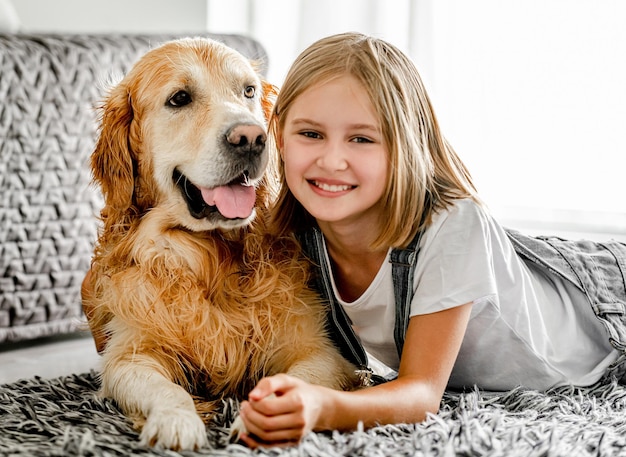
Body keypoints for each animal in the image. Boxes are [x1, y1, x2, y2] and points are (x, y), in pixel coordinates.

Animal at [83, 37, 358, 450]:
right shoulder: (130, 354)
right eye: (179, 98)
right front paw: (178, 421)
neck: (214, 259)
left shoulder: (317, 349)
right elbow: (165, 389)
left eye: (248, 91)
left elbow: (297, 380)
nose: (251, 139)